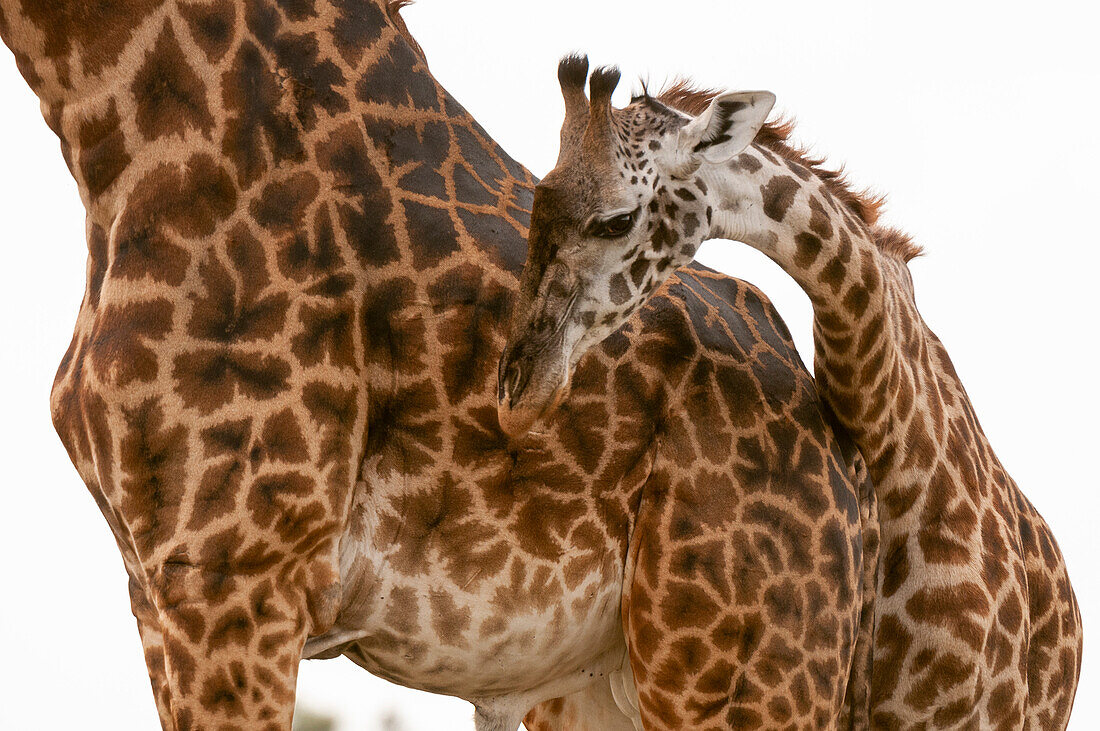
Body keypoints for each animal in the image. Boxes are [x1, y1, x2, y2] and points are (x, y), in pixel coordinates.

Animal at [0, 1, 875, 725]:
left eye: (616, 221)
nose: (520, 395)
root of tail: (848, 459)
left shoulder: (232, 572)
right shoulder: (158, 586)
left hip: (740, 666)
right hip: (607, 683)